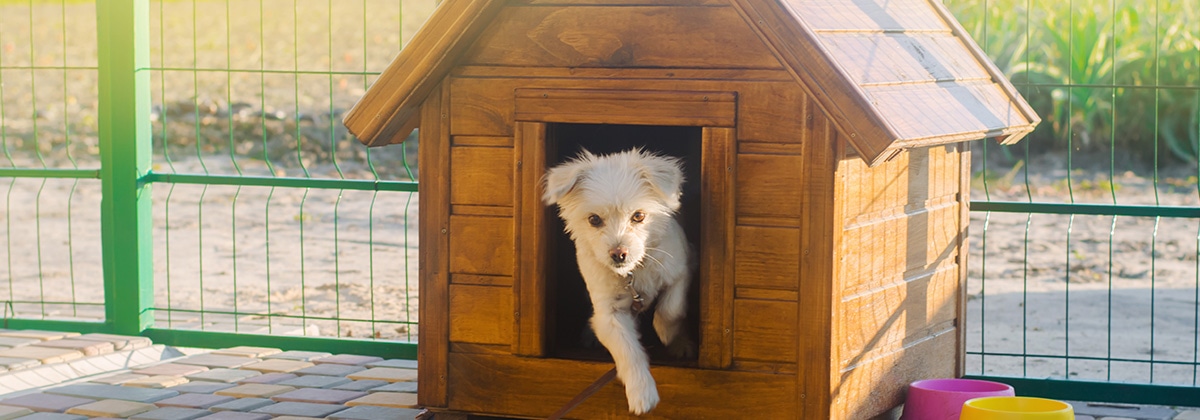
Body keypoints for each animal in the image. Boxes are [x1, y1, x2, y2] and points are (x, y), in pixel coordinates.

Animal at [544, 147, 696, 412]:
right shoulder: (610, 315)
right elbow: (628, 351)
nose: (618, 253)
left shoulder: (682, 269)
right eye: (594, 219)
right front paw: (642, 392)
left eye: (639, 216)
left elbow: (672, 309)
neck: (633, 272)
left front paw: (667, 333)